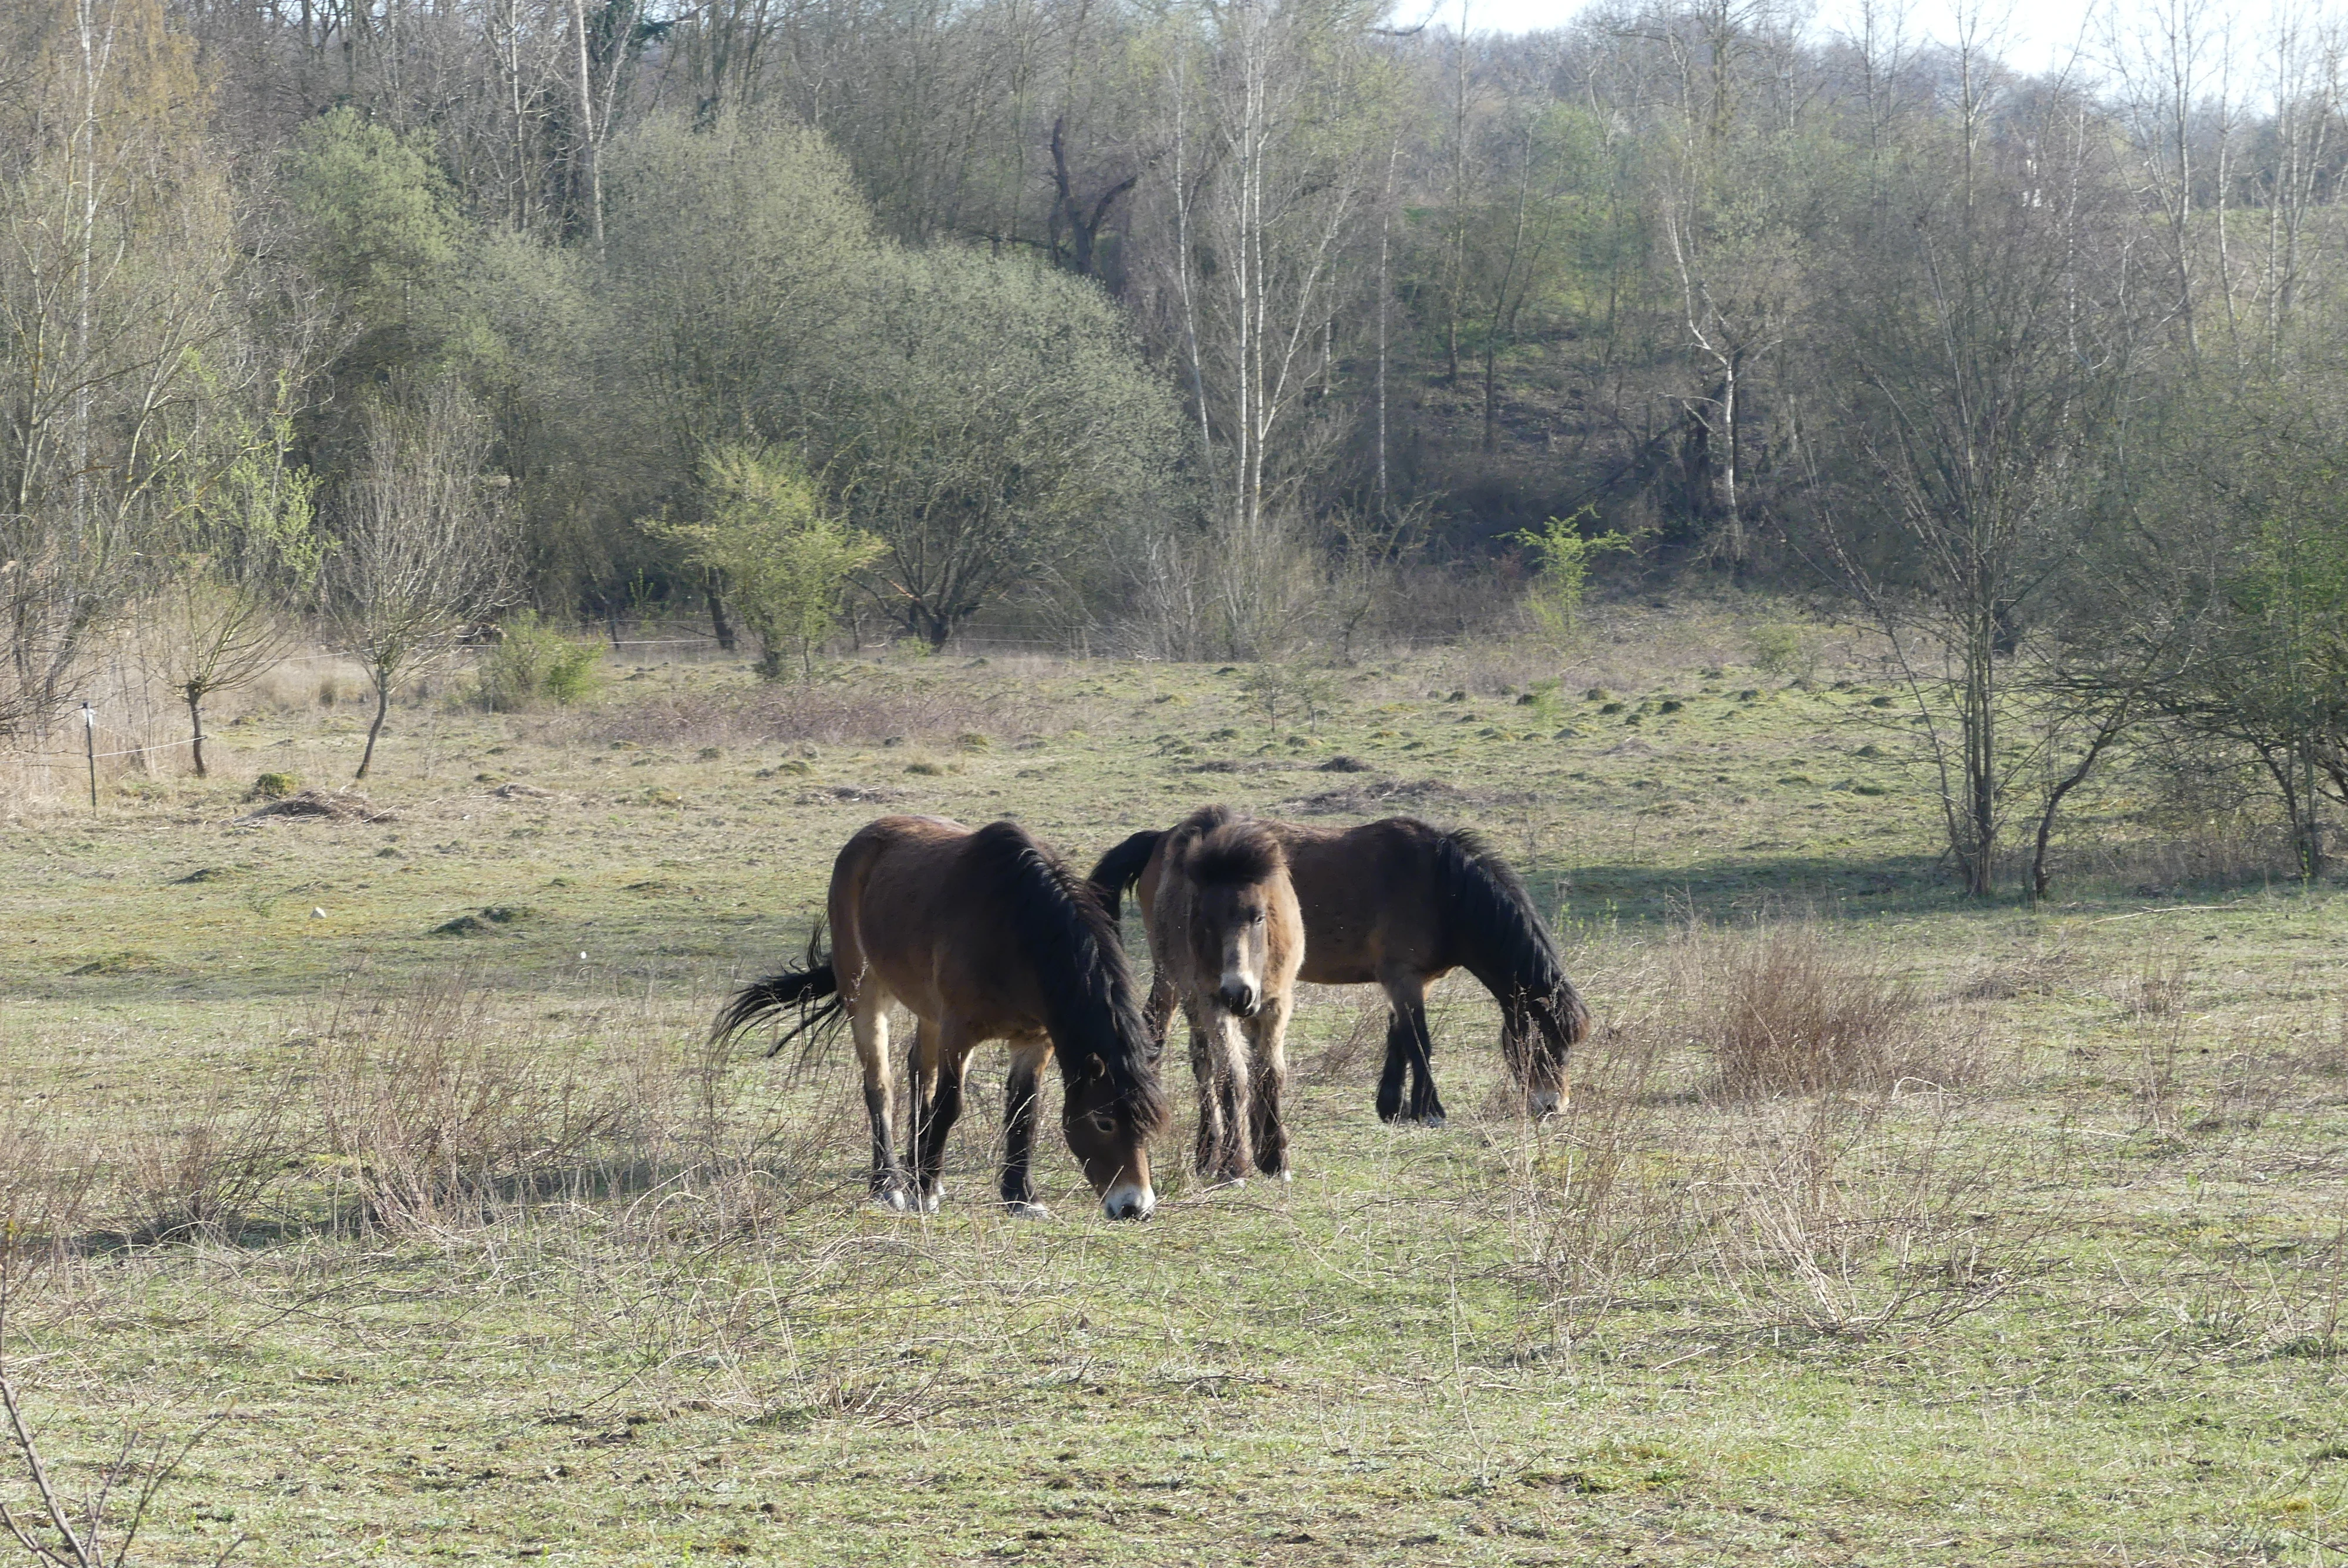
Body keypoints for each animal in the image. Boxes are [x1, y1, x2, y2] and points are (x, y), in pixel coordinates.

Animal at [716, 816, 1169, 1220]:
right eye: (1104, 1121)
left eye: (1150, 1125)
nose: (1135, 1208)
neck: (1016, 930)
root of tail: (862, 841)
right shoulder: (960, 1033)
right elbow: (950, 1105)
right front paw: (926, 1192)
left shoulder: (1034, 1040)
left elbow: (1024, 1111)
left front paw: (1020, 1197)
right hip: (866, 995)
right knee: (881, 1086)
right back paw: (890, 1184)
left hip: (928, 1013)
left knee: (920, 1073)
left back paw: (914, 1168)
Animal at [1091, 815, 1589, 1127]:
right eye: (1543, 1041)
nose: (1554, 1107)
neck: (1443, 887)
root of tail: (1162, 840)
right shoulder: (1403, 977)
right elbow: (1420, 1041)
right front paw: (1429, 1110)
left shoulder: (1410, 981)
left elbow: (1399, 1038)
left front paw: (1393, 1107)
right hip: (1175, 973)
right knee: (1155, 1023)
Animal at [1148, 807, 1305, 1185]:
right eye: (1205, 921)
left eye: (1259, 917)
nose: (1239, 993)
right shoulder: (1212, 1003)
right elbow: (1232, 1076)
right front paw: (1235, 1165)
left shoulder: (1277, 1002)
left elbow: (1270, 1072)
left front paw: (1275, 1157)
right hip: (1190, 1000)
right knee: (1205, 1068)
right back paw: (1209, 1154)